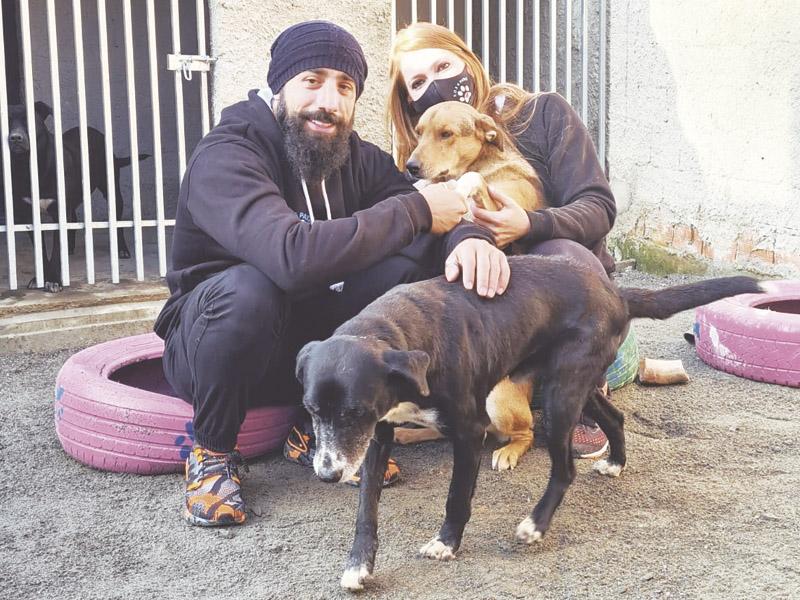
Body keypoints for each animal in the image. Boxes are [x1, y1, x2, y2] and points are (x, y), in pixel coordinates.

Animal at [3, 102, 149, 292]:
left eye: (29, 120)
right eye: (5, 121)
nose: (15, 138)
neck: (30, 167)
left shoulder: (59, 211)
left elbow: (56, 251)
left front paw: (54, 280)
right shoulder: (29, 216)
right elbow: (41, 250)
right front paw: (40, 278)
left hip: (112, 192)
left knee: (118, 221)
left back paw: (122, 249)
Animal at [296, 253, 764, 592]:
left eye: (354, 412)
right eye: (312, 410)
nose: (326, 474)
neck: (400, 335)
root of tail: (616, 292)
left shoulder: (468, 432)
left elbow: (456, 498)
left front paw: (447, 544)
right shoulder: (377, 438)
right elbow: (366, 509)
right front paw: (359, 565)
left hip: (557, 400)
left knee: (564, 467)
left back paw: (536, 525)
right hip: (575, 387)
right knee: (614, 416)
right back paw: (615, 462)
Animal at [396, 102, 548, 468]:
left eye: (446, 134)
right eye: (419, 131)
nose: (410, 168)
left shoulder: (500, 211)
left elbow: (471, 181)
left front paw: (458, 188)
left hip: (498, 398)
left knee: (526, 432)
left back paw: (508, 452)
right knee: (443, 429)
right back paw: (407, 433)